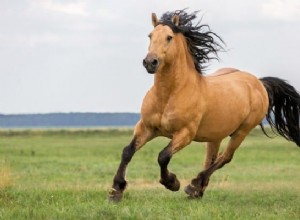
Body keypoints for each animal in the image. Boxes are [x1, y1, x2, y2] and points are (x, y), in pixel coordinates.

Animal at [108, 9, 300, 202]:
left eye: (169, 37)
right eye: (150, 36)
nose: (150, 62)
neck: (169, 95)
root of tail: (258, 83)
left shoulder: (185, 133)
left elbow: (163, 156)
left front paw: (172, 182)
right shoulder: (146, 127)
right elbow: (127, 151)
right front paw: (116, 190)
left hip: (242, 131)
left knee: (225, 158)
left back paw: (193, 186)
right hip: (216, 135)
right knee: (211, 159)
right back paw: (197, 190)